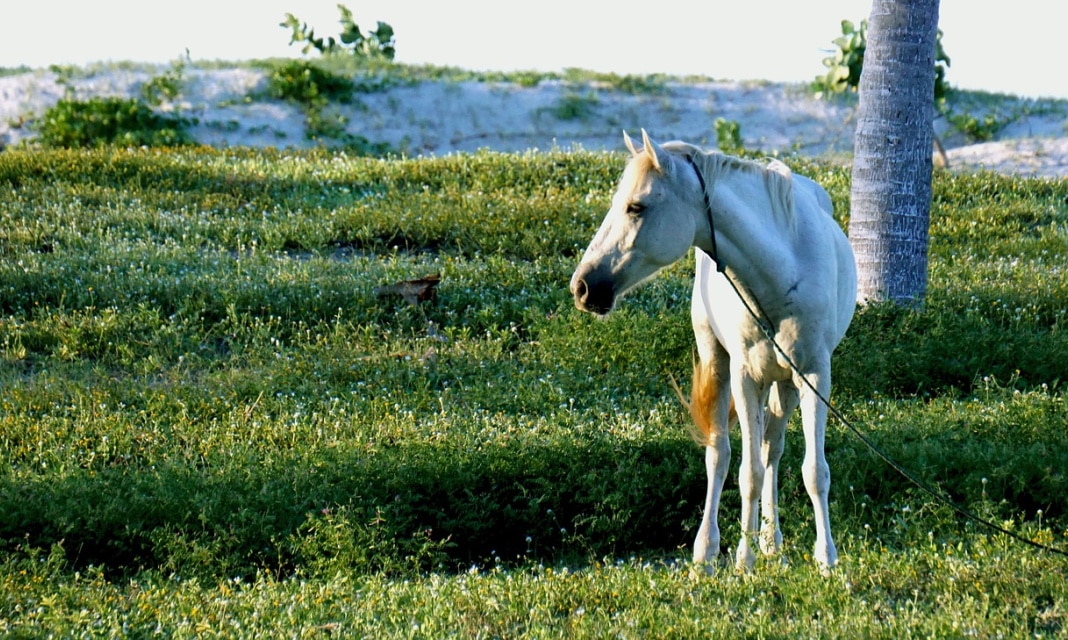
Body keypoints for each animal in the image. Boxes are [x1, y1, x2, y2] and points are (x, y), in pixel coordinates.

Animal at [568, 131, 858, 576]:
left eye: (636, 206)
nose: (582, 286)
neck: (782, 270)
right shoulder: (745, 376)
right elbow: (747, 473)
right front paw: (743, 559)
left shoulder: (813, 375)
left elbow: (813, 471)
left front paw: (826, 560)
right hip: (722, 367)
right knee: (720, 456)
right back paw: (708, 552)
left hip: (785, 384)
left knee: (771, 448)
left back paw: (772, 542)